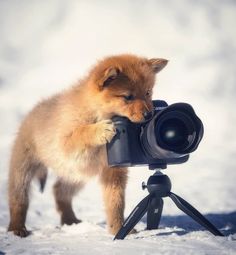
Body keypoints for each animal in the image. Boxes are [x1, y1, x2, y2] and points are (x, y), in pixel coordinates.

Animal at [7, 53, 168, 237]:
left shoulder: (114, 172)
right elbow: (81, 133)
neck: (97, 113)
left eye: (148, 93)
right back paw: (17, 228)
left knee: (59, 190)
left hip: (75, 175)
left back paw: (70, 220)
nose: (149, 114)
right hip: (23, 171)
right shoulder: (64, 143)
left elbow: (116, 203)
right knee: (19, 200)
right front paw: (100, 130)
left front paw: (118, 229)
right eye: (128, 97)